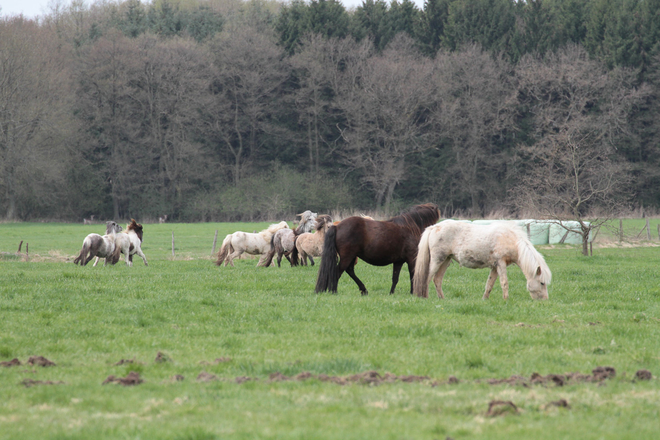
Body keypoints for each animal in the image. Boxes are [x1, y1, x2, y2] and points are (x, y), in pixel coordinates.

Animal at [412, 219, 552, 300]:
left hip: (446, 260)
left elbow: (489, 284)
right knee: (427, 278)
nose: (545, 301)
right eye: (542, 283)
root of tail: (433, 227)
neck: (511, 240)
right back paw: (424, 297)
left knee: (437, 279)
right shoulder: (501, 264)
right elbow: (504, 283)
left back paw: (442, 298)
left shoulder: (495, 267)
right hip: (437, 259)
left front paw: (485, 299)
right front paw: (506, 300)